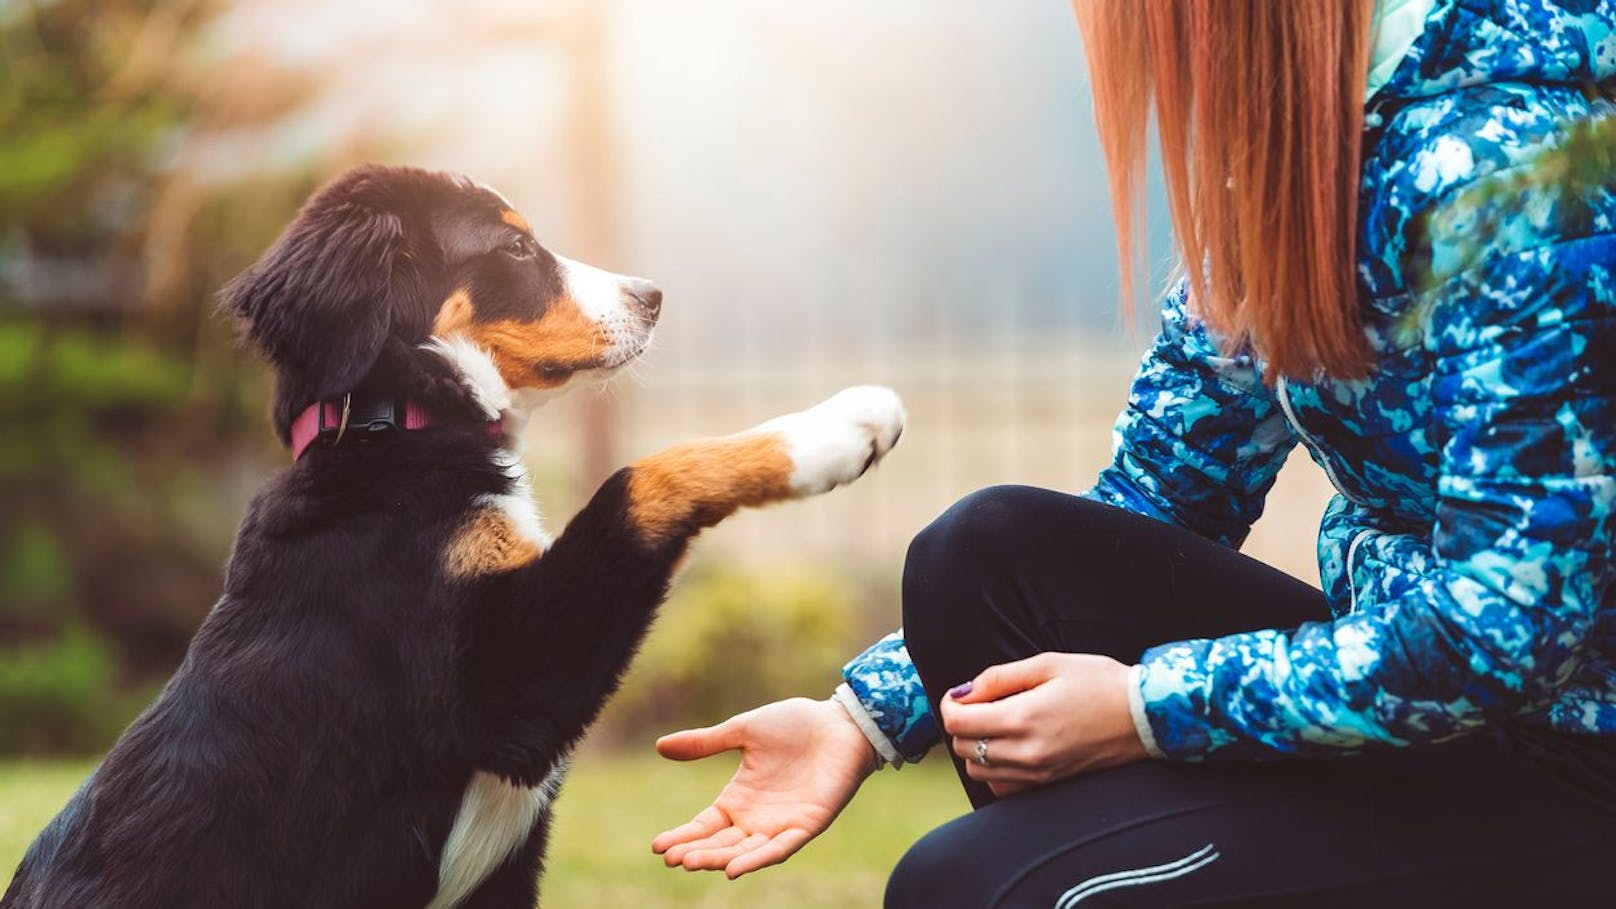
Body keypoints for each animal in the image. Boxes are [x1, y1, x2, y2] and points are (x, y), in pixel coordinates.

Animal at [0, 164, 904, 905]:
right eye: (515, 245)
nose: (653, 296)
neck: (392, 431)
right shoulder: (505, 688)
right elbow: (642, 477)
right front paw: (834, 431)